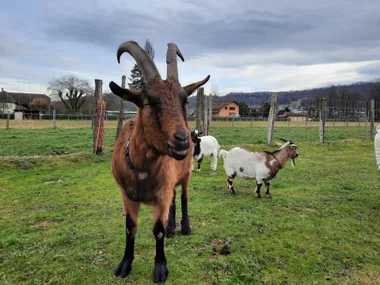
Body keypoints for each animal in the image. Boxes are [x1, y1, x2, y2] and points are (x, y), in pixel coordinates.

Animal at [109, 41, 211, 282]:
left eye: (184, 100)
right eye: (147, 103)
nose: (183, 139)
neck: (141, 171)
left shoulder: (162, 194)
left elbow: (158, 230)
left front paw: (160, 269)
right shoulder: (127, 195)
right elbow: (130, 228)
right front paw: (124, 265)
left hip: (185, 175)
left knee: (182, 198)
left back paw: (184, 227)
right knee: (173, 201)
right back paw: (173, 228)